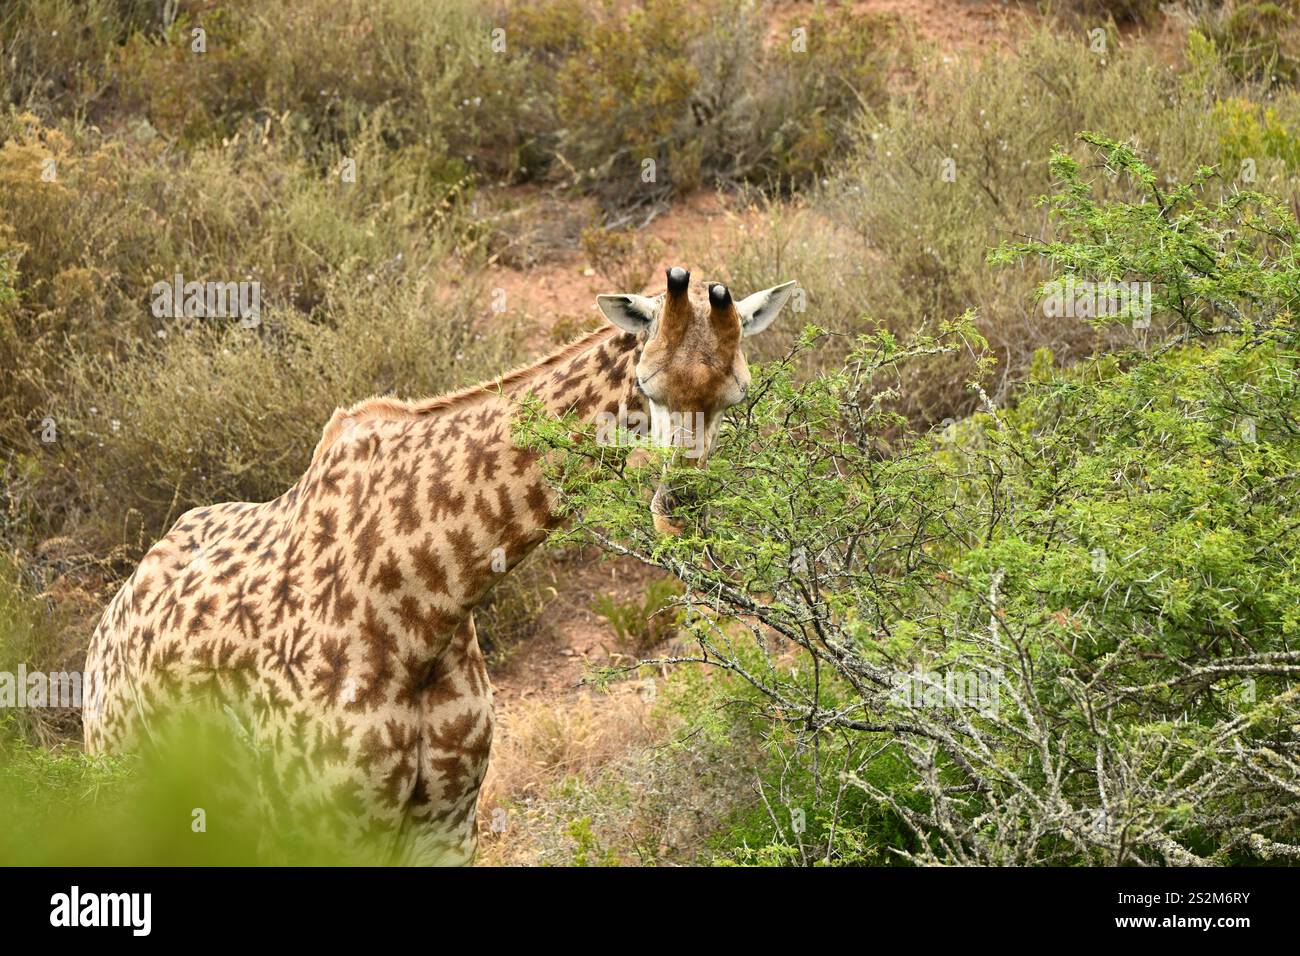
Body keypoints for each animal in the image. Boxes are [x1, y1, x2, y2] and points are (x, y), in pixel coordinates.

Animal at [82, 267, 797, 864]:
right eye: (646, 385)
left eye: (738, 395)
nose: (681, 511)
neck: (429, 600)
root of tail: (103, 636)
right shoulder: (323, 824)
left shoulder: (447, 824)